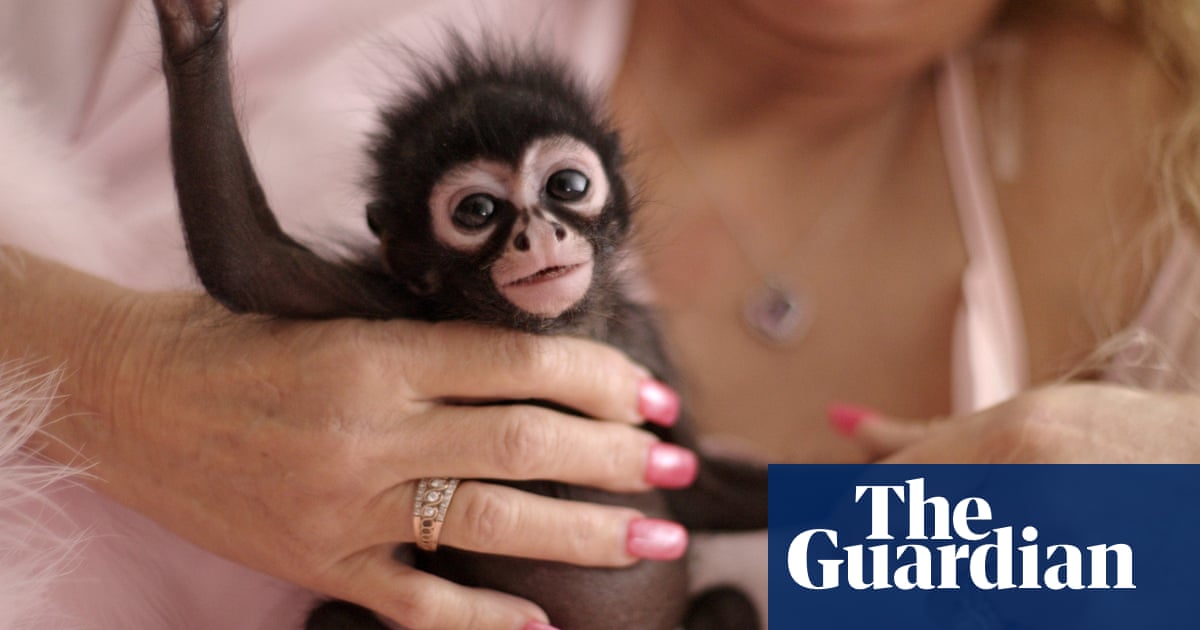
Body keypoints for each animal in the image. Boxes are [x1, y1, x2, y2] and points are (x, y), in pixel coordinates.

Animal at [150, 1, 768, 628]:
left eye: (568, 185)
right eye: (477, 211)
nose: (539, 234)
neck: (554, 329)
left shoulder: (642, 345)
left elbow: (693, 482)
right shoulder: (397, 303)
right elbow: (248, 263)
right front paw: (191, 30)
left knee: (730, 598)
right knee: (335, 617)